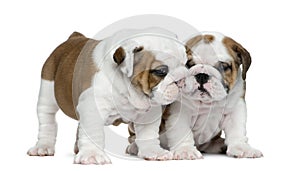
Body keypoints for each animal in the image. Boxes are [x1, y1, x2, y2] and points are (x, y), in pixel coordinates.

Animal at [27, 28, 188, 164]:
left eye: (186, 64)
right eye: (161, 71)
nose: (182, 80)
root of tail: (74, 37)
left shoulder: (149, 112)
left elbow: (148, 133)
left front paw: (153, 151)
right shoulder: (92, 107)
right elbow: (93, 131)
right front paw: (91, 155)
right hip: (47, 90)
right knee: (47, 120)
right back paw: (43, 146)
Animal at [126, 31, 262, 159]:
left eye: (223, 66)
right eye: (189, 64)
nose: (202, 75)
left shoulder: (236, 108)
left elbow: (236, 130)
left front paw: (241, 148)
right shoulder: (179, 113)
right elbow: (181, 131)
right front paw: (185, 150)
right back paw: (135, 147)